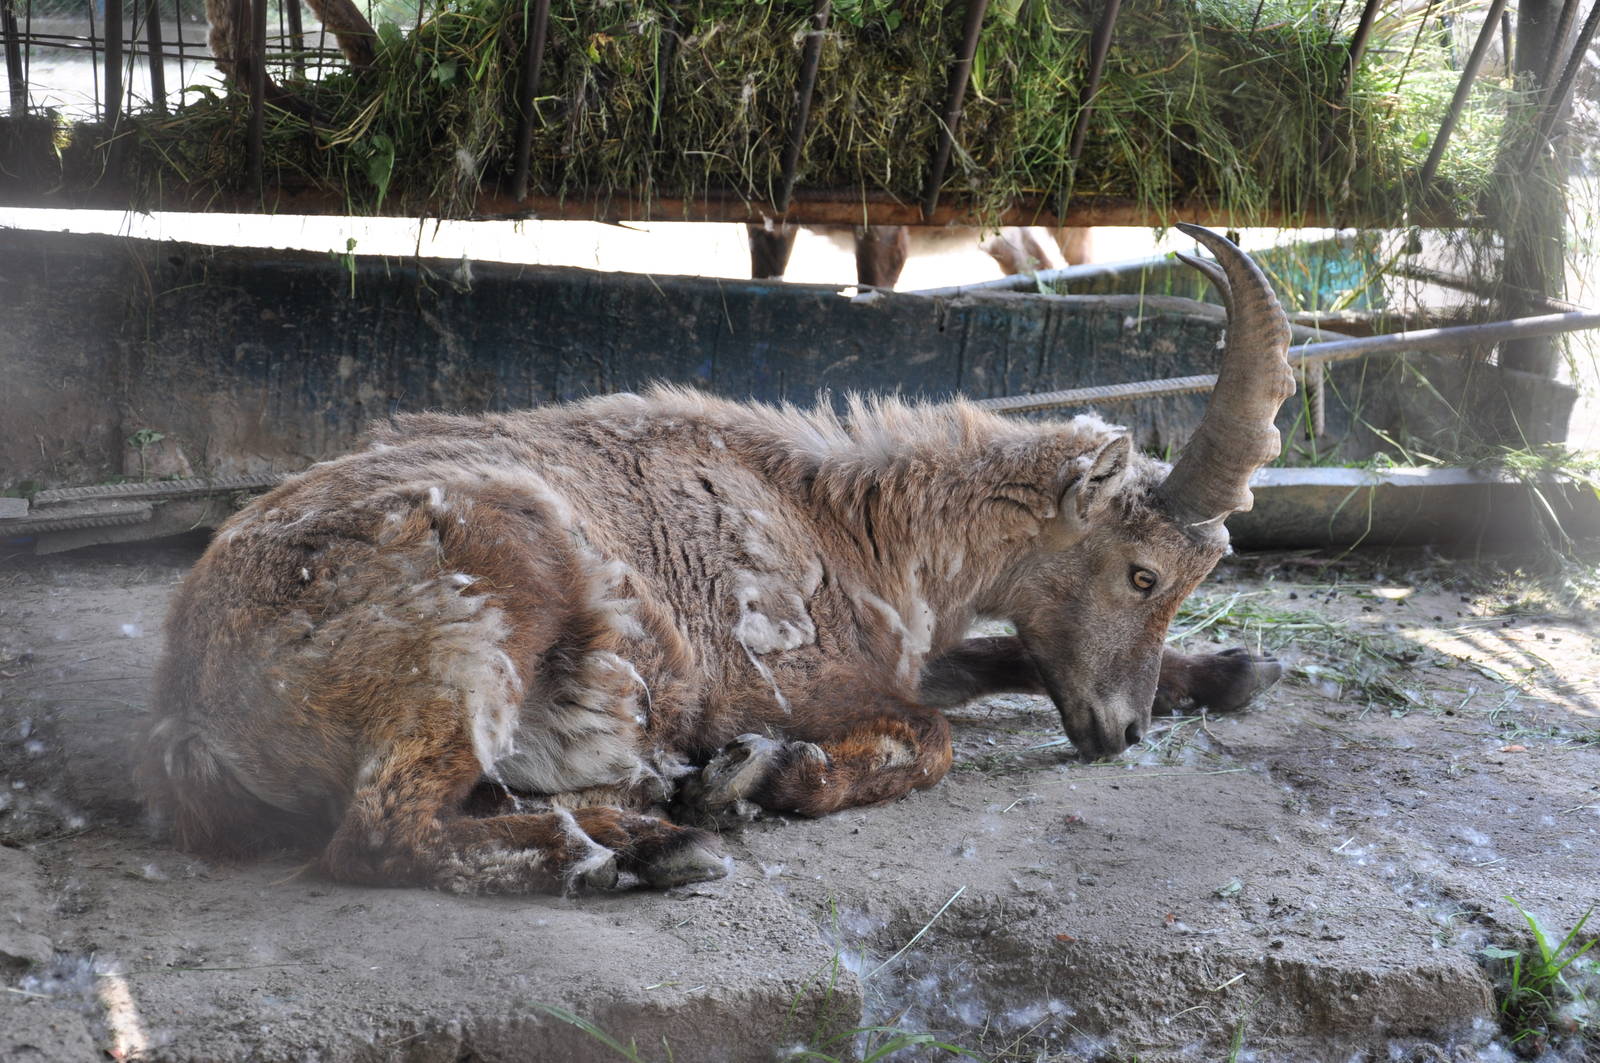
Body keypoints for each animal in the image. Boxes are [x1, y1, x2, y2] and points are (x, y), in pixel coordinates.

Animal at [140, 225, 1294, 895]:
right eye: (1142, 573)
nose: (1121, 730)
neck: (852, 522)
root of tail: (197, 712)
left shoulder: (913, 654)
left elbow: (995, 661)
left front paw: (1233, 671)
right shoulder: (788, 674)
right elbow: (928, 740)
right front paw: (761, 773)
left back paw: (644, 817)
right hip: (485, 609)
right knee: (378, 830)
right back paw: (642, 841)